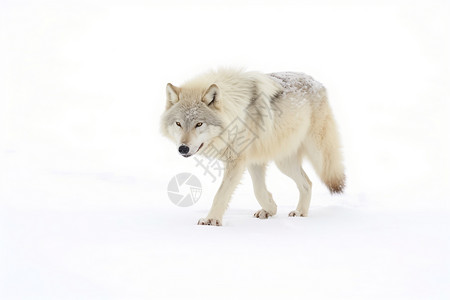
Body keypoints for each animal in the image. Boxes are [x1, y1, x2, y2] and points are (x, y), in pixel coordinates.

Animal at [161, 69, 344, 226]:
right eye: (178, 123)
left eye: (199, 124)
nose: (183, 148)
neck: (234, 111)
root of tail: (317, 82)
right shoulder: (252, 160)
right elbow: (259, 190)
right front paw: (270, 208)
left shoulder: (237, 160)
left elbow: (222, 194)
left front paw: (211, 220)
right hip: (284, 163)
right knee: (307, 183)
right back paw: (299, 212)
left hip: (318, 155)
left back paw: (301, 212)